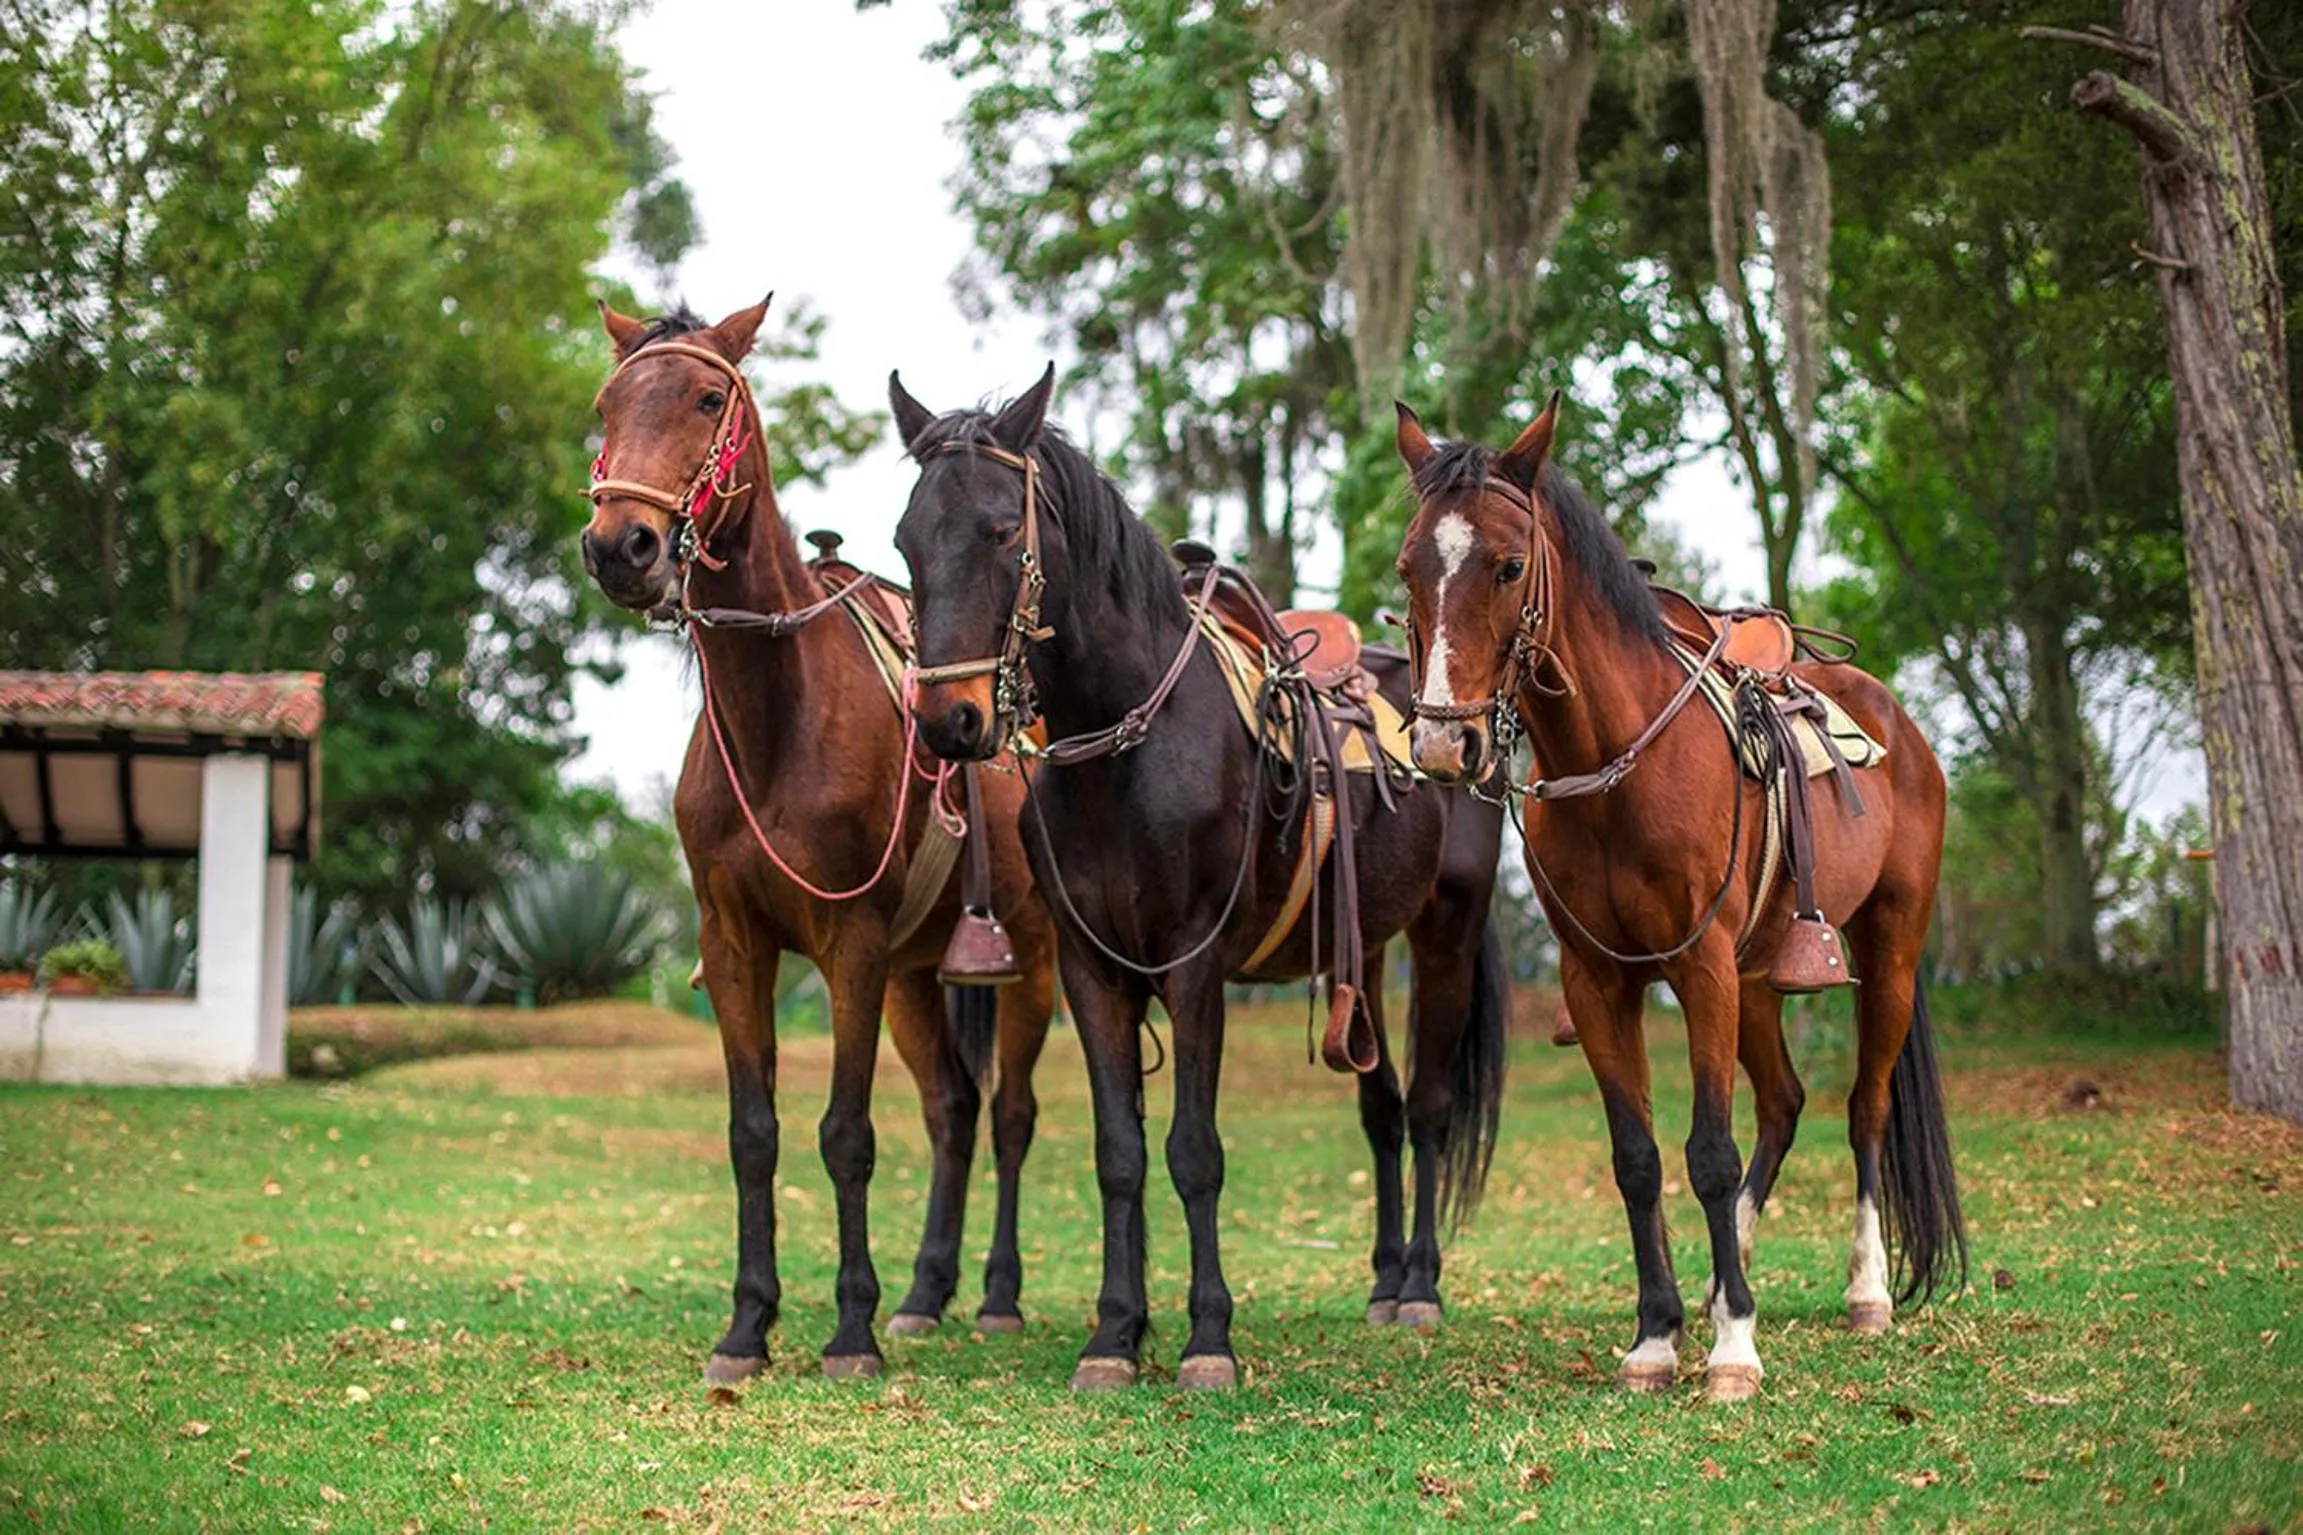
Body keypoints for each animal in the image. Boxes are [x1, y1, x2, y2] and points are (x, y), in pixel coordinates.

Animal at [579, 297, 1059, 1383]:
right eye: (607, 406)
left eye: (706, 397)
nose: (621, 544)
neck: (780, 720)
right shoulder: (734, 944)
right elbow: (752, 1131)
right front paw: (747, 1325)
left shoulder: (854, 946)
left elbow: (846, 1133)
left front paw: (850, 1328)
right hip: (921, 977)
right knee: (952, 1110)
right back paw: (927, 1293)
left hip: (1032, 956)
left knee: (1009, 1115)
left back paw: (996, 1295)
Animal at [888, 365, 1510, 1392]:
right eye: (905, 541)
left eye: (1001, 531)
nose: (950, 722)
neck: (1125, 745)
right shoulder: (1091, 971)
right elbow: (1119, 1152)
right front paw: (1115, 1331)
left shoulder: (1193, 968)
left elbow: (1192, 1150)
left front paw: (1206, 1335)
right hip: (1364, 947)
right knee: (1379, 1107)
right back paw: (1383, 1279)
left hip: (1447, 928)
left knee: (1425, 1107)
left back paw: (1418, 1284)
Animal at [1390, 395, 1963, 1402]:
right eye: (1408, 567)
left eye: (1507, 565)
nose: (1441, 745)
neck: (1618, 766)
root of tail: (1897, 721)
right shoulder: (1599, 980)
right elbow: (1638, 1156)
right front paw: (1657, 1333)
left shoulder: (1699, 969)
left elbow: (1706, 1151)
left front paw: (1734, 1348)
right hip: (1761, 979)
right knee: (1784, 1102)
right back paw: (1722, 1275)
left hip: (1886, 949)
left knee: (1863, 1107)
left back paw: (1863, 1291)